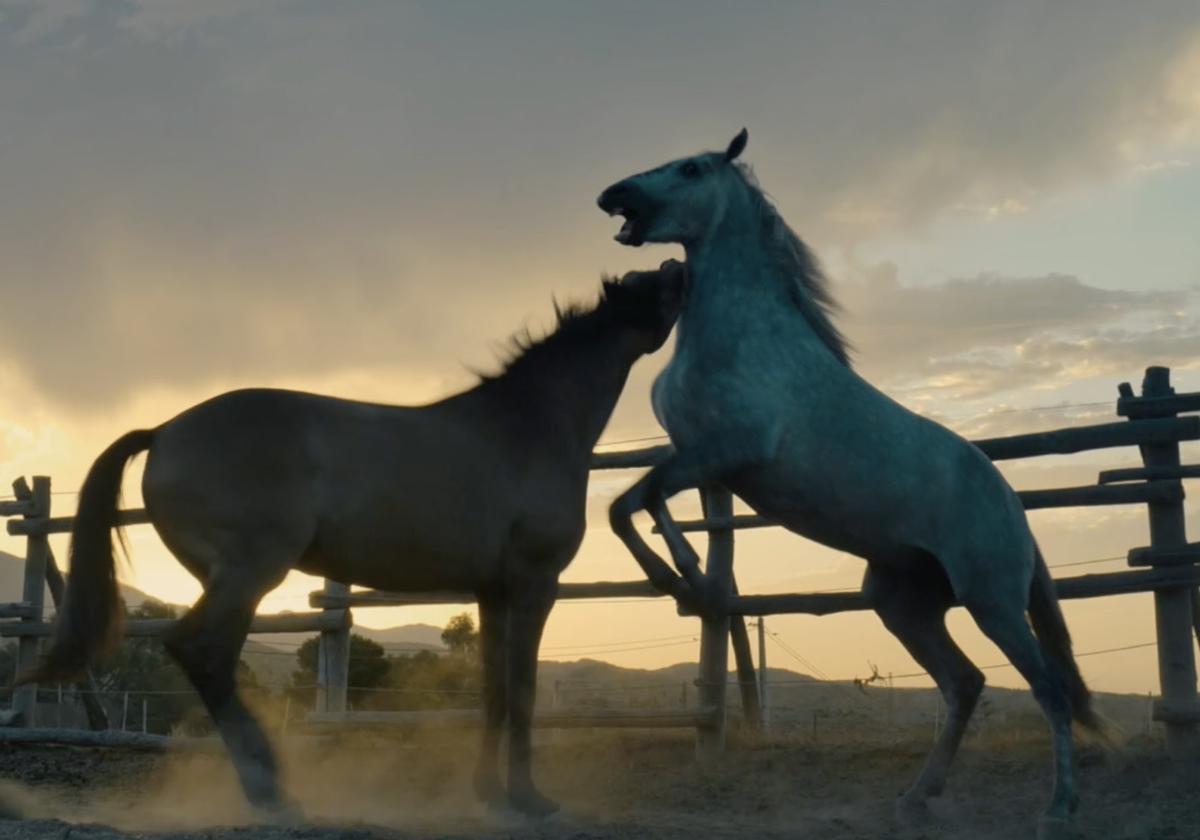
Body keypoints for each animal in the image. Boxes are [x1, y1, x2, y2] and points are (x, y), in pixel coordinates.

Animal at [25, 259, 686, 816]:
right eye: (653, 287)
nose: (678, 265)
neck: (526, 427)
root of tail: (163, 431)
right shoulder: (534, 584)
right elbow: (522, 691)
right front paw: (529, 801)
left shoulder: (492, 592)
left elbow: (494, 691)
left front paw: (491, 794)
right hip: (250, 574)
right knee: (200, 650)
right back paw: (270, 788)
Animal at [600, 131, 1104, 840]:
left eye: (691, 168)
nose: (612, 196)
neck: (744, 337)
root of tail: (1012, 505)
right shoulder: (698, 459)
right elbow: (635, 506)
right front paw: (683, 579)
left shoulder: (727, 452)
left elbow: (639, 502)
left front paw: (685, 577)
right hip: (902, 603)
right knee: (965, 684)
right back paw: (917, 797)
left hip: (992, 600)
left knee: (1048, 687)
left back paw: (1059, 807)